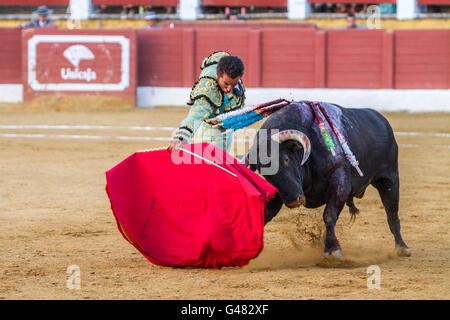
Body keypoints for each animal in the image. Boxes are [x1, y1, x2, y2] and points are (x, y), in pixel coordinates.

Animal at [246, 100, 412, 258]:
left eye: (286, 159)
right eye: (264, 173)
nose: (294, 201)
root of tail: (381, 120)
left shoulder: (340, 183)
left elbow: (329, 215)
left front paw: (332, 250)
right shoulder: (280, 192)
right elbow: (265, 214)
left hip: (389, 179)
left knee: (392, 213)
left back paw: (402, 247)